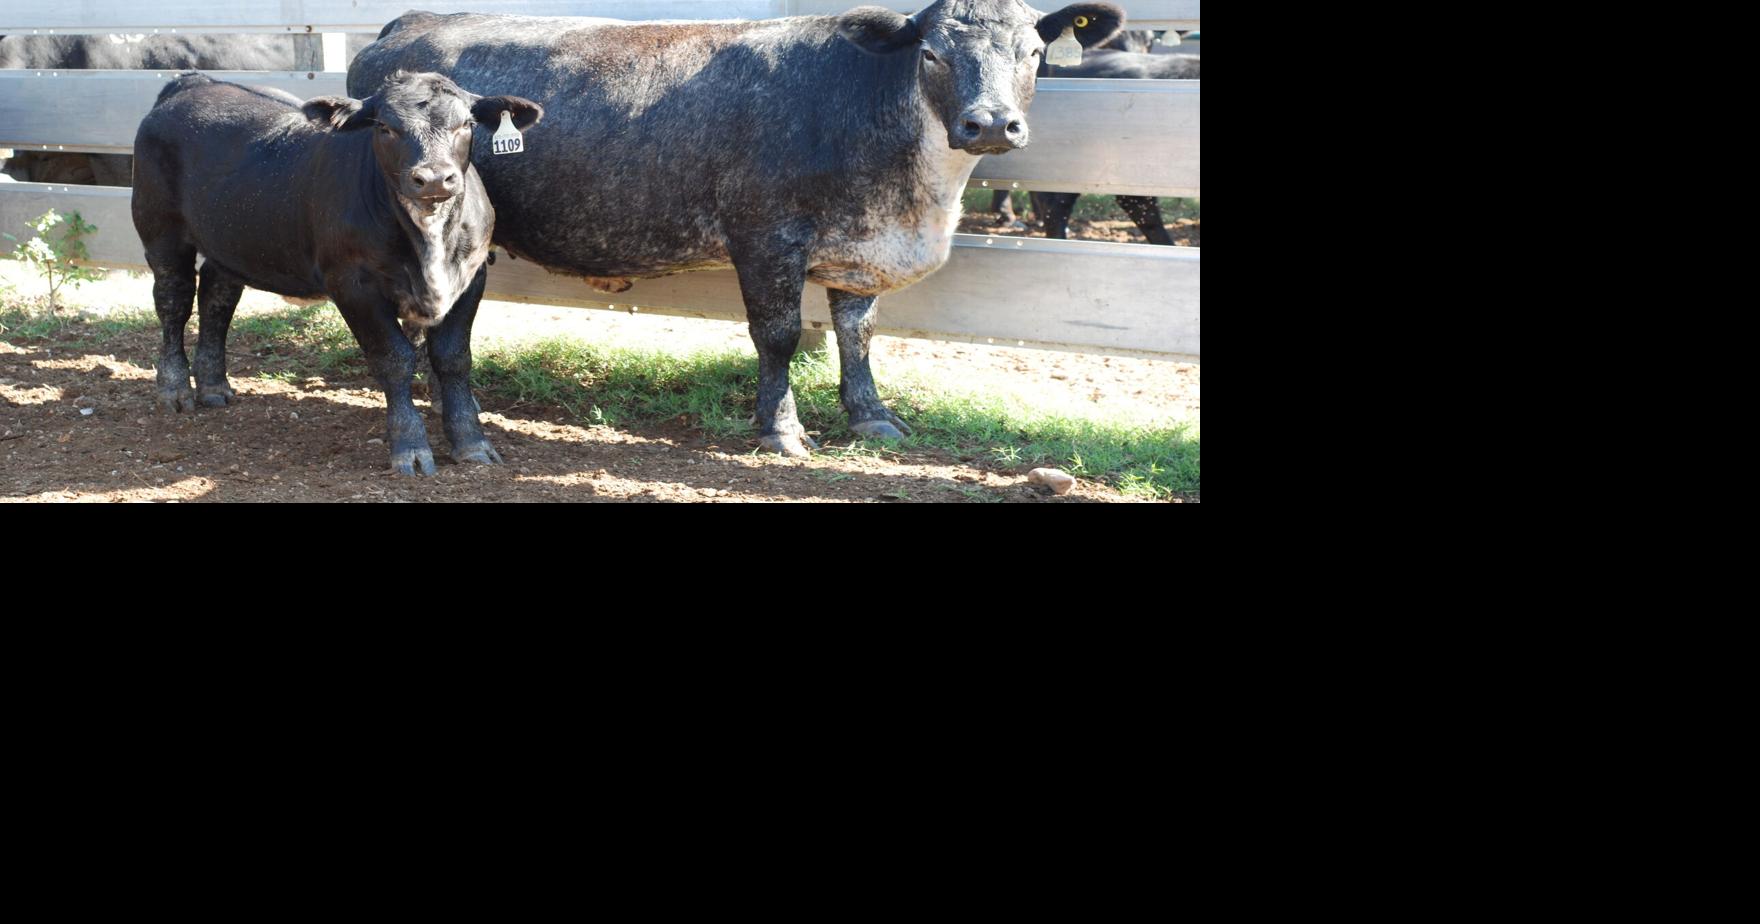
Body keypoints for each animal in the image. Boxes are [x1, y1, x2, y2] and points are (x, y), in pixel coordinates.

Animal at [131, 71, 542, 475]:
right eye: (384, 127)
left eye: (466, 124)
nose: (435, 179)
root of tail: (195, 81)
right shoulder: (353, 285)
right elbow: (394, 359)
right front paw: (410, 448)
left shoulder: (472, 277)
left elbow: (453, 358)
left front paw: (472, 443)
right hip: (161, 231)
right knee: (173, 301)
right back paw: (175, 389)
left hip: (232, 241)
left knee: (217, 298)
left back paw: (214, 386)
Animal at [348, 2, 1125, 457]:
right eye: (931, 52)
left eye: (1032, 52)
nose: (990, 123)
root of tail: (404, 23)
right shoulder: (766, 237)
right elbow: (777, 336)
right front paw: (781, 430)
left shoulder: (860, 249)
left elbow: (858, 333)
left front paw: (871, 416)